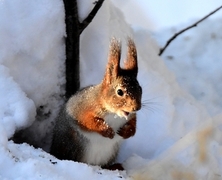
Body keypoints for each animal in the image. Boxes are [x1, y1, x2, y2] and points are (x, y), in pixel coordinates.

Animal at [49, 38, 142, 170]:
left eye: (140, 89)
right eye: (119, 92)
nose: (136, 107)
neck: (114, 114)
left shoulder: (131, 116)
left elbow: (133, 127)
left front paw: (126, 132)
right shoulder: (83, 107)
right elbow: (88, 120)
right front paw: (107, 130)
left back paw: (114, 167)